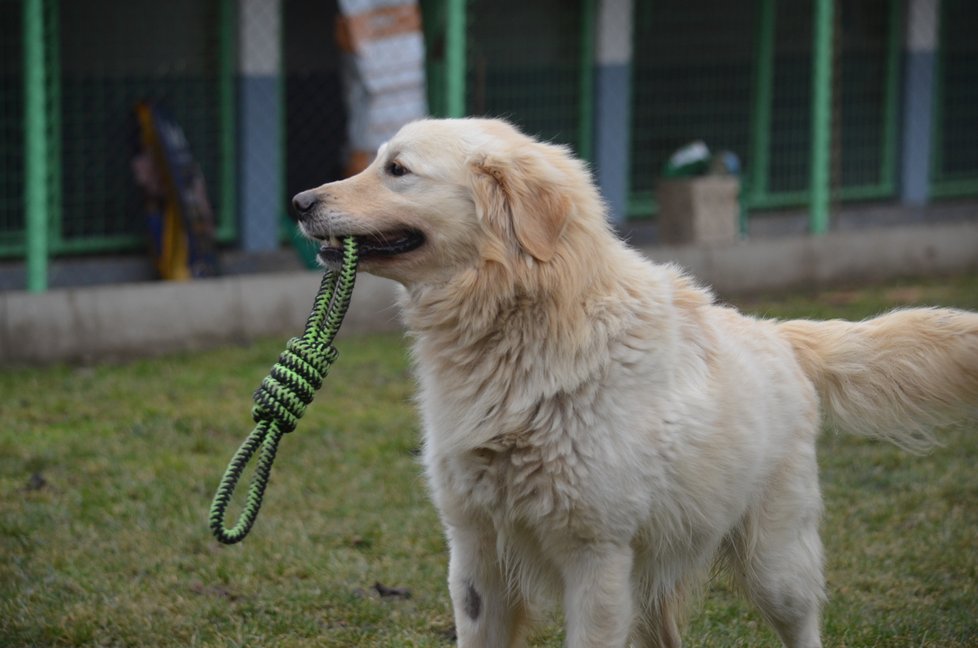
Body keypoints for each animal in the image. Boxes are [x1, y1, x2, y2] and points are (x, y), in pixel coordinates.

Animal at [292, 119, 976, 644]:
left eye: (398, 169)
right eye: (378, 161)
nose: (299, 202)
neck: (526, 327)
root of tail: (778, 335)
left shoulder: (595, 558)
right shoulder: (476, 553)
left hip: (777, 566)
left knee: (803, 627)